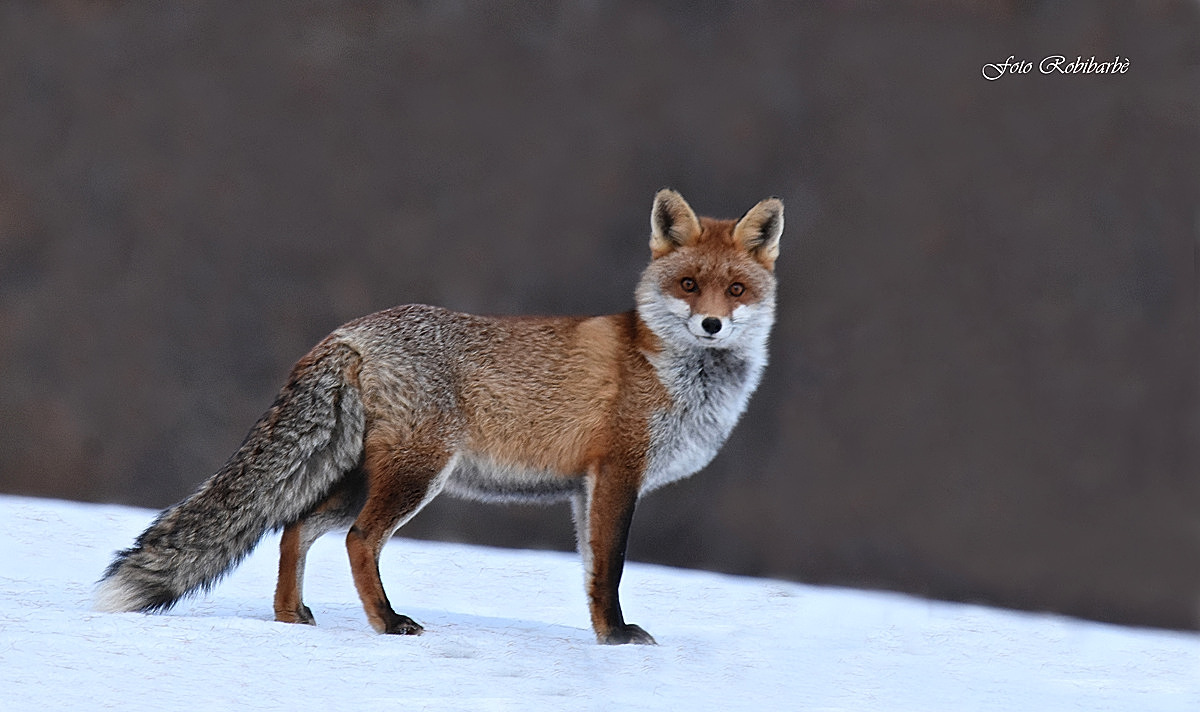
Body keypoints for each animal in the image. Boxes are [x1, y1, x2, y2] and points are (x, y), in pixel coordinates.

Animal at [96, 189, 783, 645]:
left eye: (736, 291)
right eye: (689, 285)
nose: (712, 325)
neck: (665, 367)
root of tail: (350, 331)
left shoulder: (586, 490)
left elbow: (592, 574)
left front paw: (600, 638)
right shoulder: (619, 473)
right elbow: (610, 569)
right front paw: (616, 640)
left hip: (360, 477)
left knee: (293, 528)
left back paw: (291, 618)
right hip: (415, 475)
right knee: (357, 540)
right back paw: (386, 622)